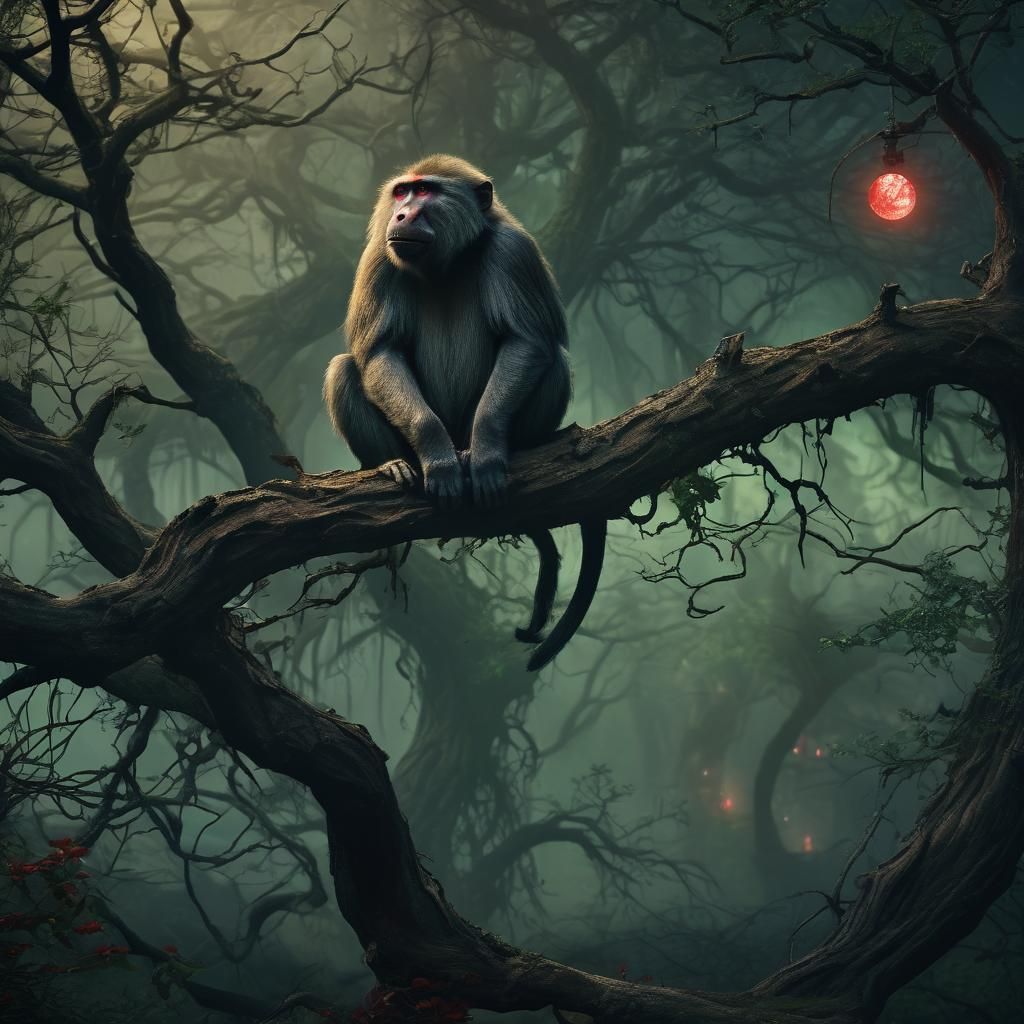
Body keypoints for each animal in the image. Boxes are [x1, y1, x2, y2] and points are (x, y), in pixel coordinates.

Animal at [323, 154, 605, 671]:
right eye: (402, 192)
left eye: (426, 192)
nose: (401, 216)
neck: (446, 265)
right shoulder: (380, 258)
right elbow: (379, 353)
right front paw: (435, 456)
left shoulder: (513, 252)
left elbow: (526, 340)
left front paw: (489, 453)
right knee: (344, 368)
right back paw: (392, 464)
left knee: (552, 358)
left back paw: (517, 448)